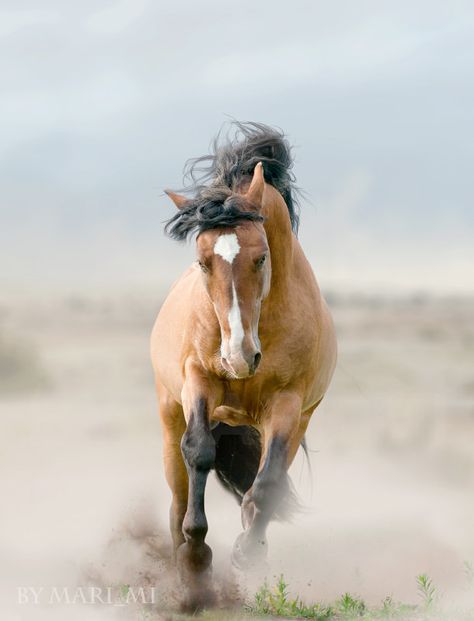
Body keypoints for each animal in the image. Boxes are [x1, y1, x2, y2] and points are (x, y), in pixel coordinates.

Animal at [150, 122, 336, 612]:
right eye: (202, 261)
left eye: (261, 257)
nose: (238, 357)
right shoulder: (198, 382)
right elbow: (199, 452)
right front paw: (197, 559)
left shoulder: (288, 404)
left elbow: (267, 486)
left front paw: (246, 554)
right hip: (169, 415)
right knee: (177, 496)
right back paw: (184, 573)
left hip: (294, 421)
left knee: (264, 487)